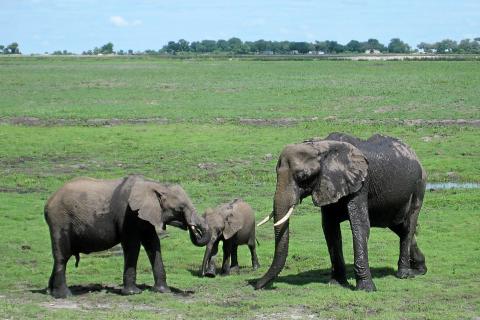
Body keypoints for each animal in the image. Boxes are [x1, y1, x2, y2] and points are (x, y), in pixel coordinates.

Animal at [45, 174, 210, 298]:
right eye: (180, 208)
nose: (193, 228)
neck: (156, 185)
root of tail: (48, 202)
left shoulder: (144, 215)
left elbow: (153, 244)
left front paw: (163, 291)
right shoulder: (128, 214)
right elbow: (132, 245)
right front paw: (132, 293)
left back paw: (50, 292)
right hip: (59, 220)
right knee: (62, 256)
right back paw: (64, 295)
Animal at [255, 131, 428, 292]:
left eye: (303, 176)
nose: (256, 285)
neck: (321, 146)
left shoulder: (361, 183)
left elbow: (360, 226)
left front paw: (366, 289)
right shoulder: (328, 183)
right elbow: (330, 228)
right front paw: (337, 283)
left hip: (419, 187)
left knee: (408, 227)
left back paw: (404, 274)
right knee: (400, 227)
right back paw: (420, 270)